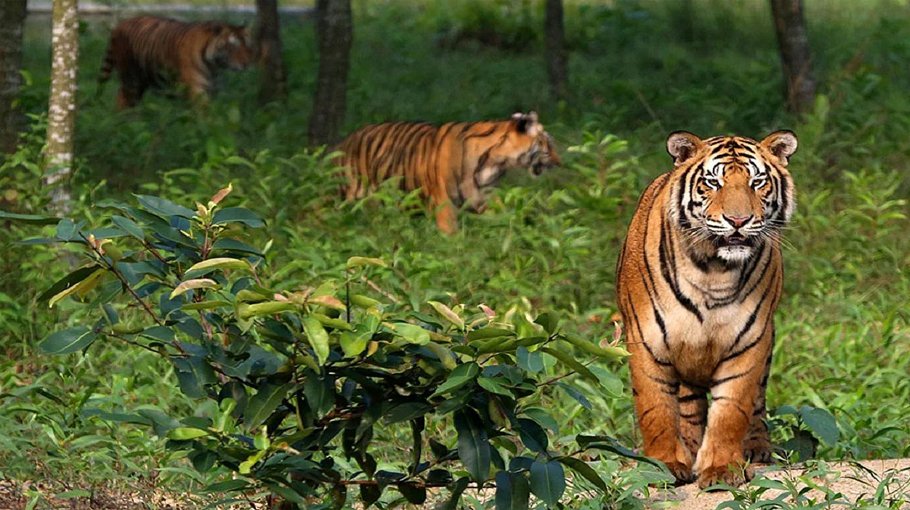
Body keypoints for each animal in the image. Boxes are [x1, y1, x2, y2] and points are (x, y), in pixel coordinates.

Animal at [99, 16, 255, 109]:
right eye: (232, 46)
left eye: (247, 45)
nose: (247, 63)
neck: (214, 67)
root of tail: (120, 24)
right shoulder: (196, 90)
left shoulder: (212, 90)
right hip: (131, 78)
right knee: (123, 98)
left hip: (144, 79)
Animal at [335, 112, 561, 234]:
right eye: (548, 146)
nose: (560, 162)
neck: (495, 163)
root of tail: (345, 141)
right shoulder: (444, 205)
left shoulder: (484, 198)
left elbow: (503, 221)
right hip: (348, 196)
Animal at [615, 130, 798, 488]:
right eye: (713, 182)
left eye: (757, 182)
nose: (738, 220)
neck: (713, 270)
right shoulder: (646, 339)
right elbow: (656, 408)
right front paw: (662, 464)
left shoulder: (749, 341)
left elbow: (731, 411)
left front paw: (723, 468)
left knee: (756, 402)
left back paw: (756, 448)